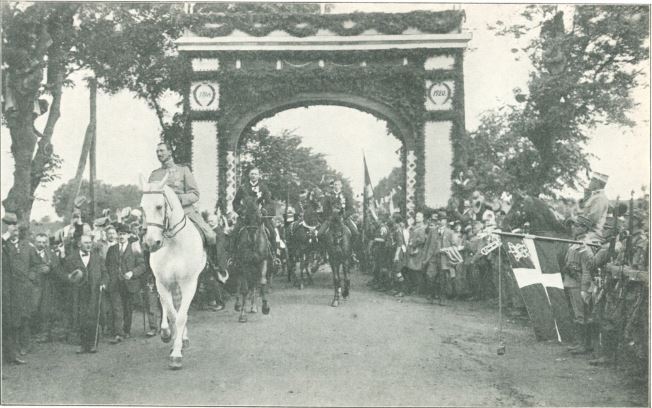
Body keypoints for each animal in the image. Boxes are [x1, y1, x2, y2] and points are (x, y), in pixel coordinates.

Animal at [139, 175, 205, 370]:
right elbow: (171, 313)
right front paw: (171, 337)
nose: (151, 243)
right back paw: (169, 333)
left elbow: (181, 316)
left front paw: (177, 354)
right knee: (168, 305)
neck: (174, 243)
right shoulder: (162, 283)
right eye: (142, 207)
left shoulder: (189, 283)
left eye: (159, 206)